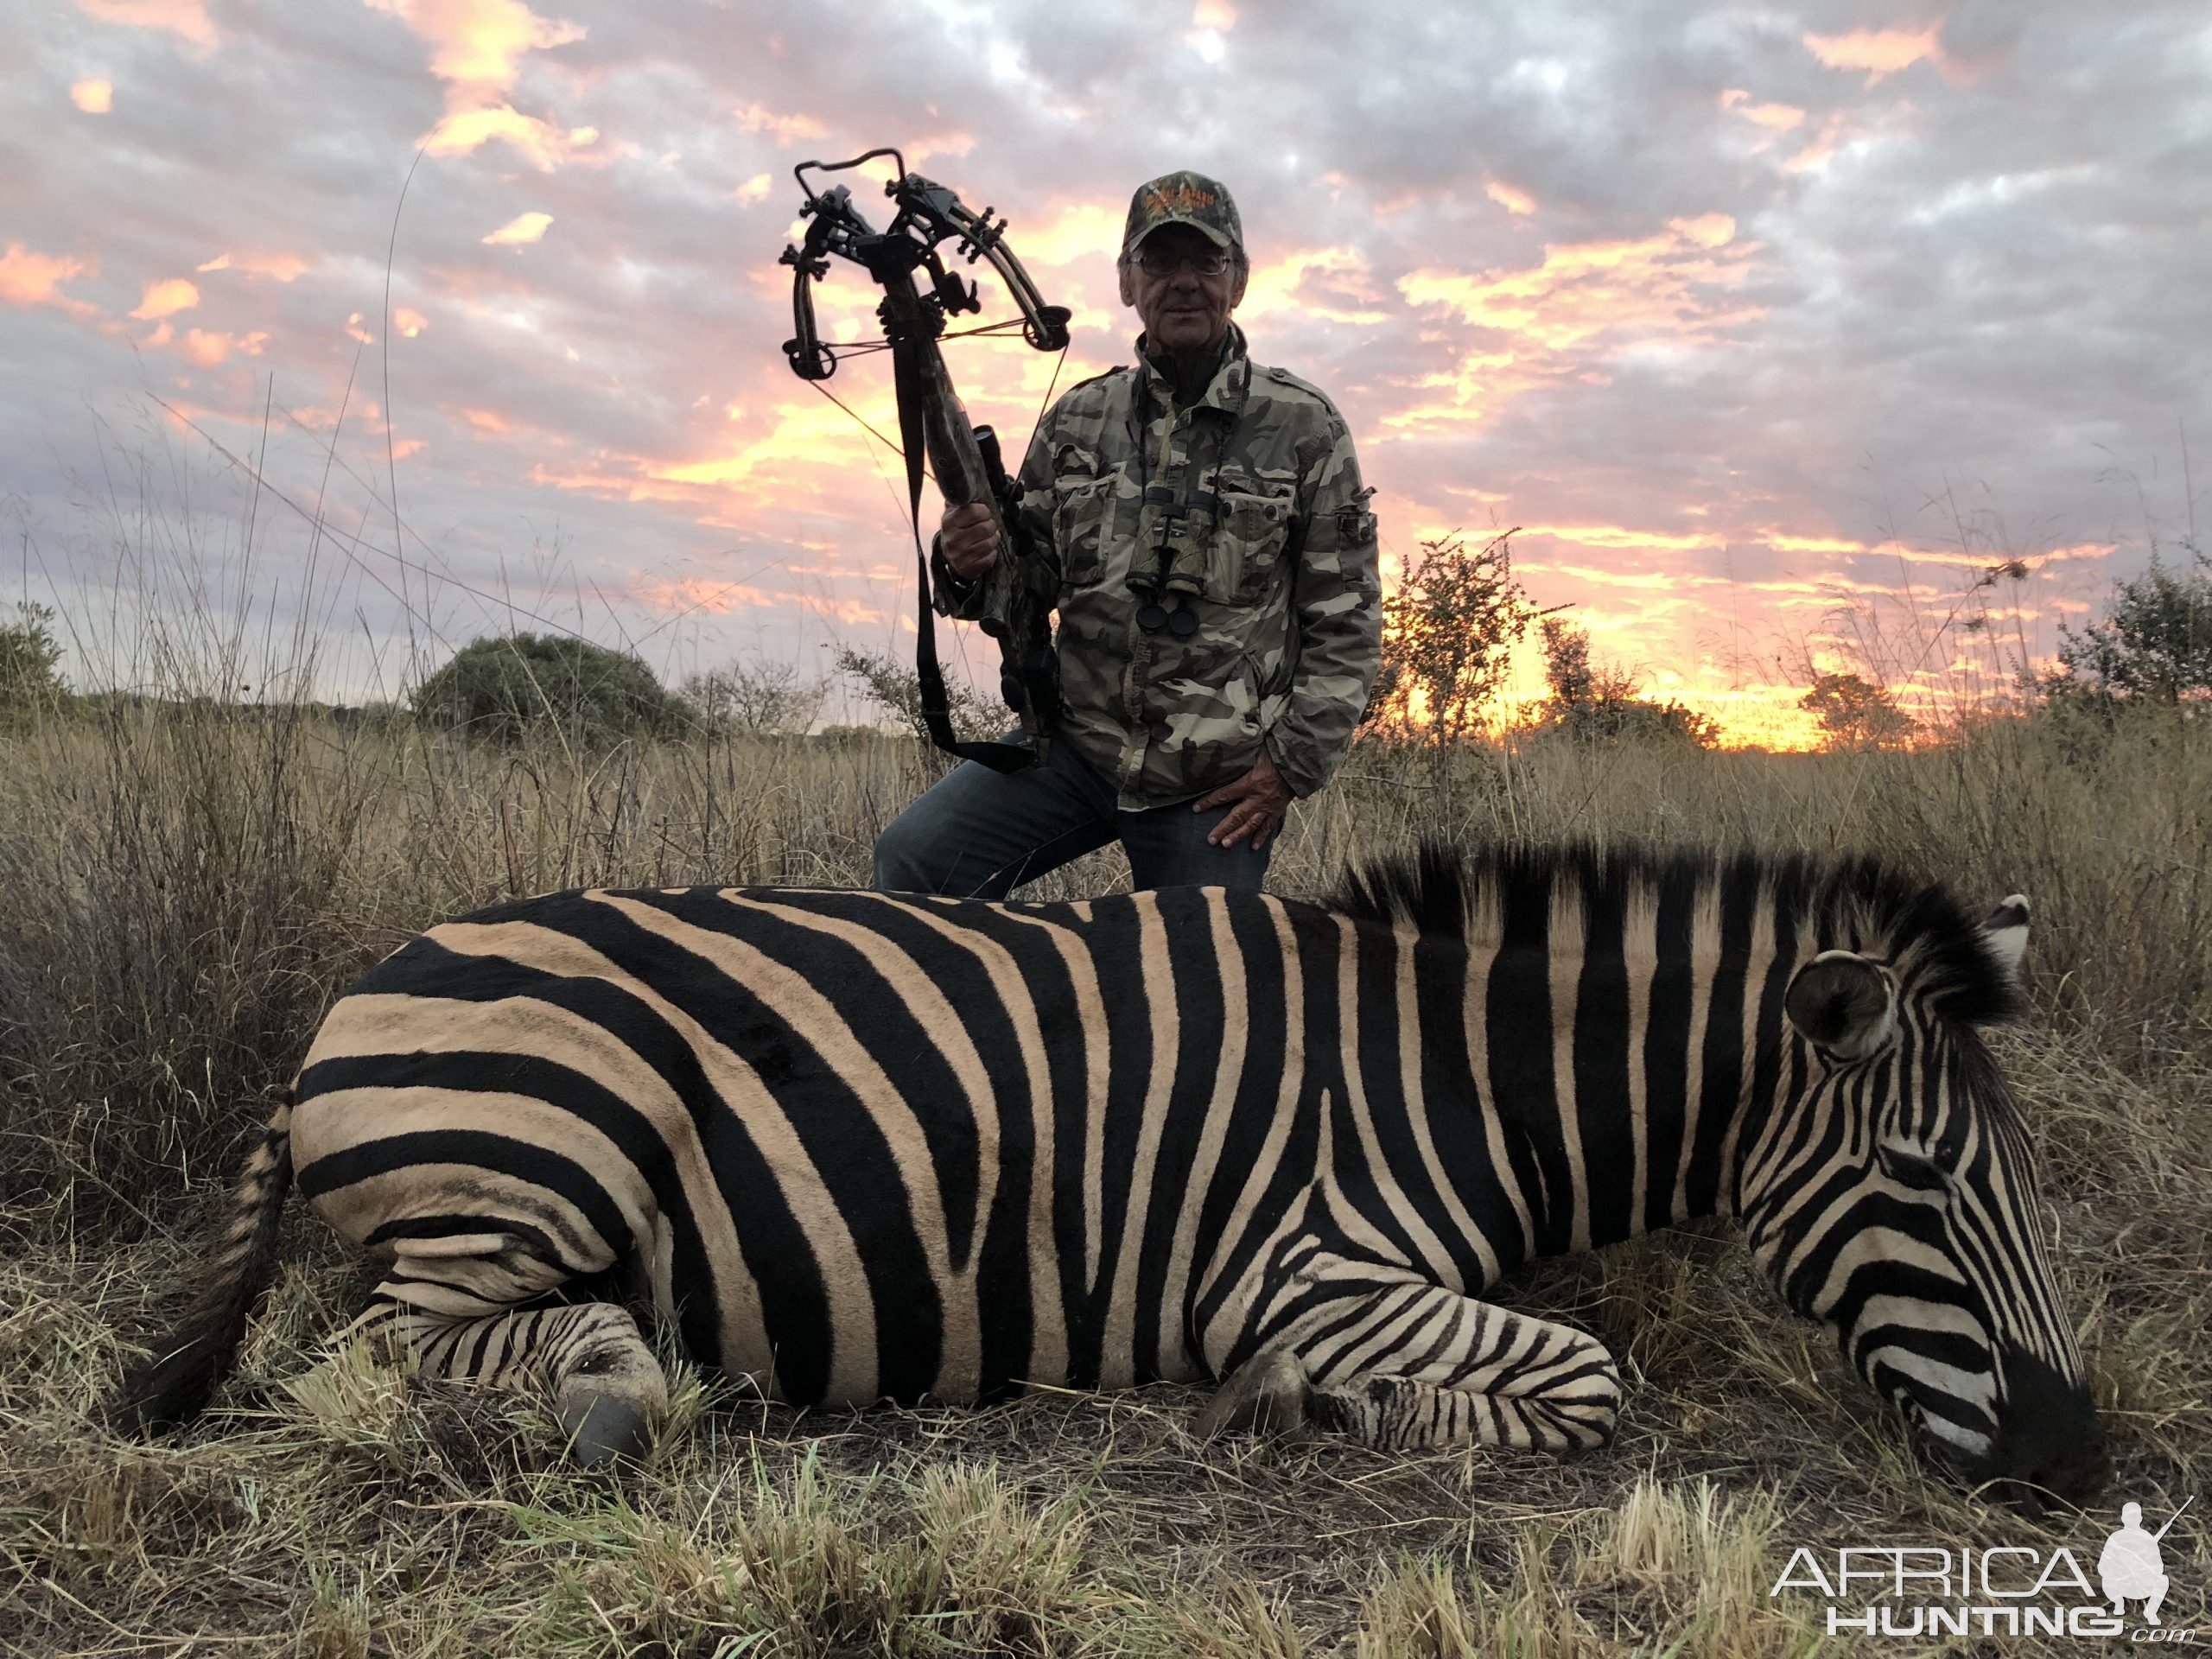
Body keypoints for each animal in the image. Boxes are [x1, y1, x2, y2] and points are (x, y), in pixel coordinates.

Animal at [117, 849, 2106, 1513]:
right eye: (1925, 1183)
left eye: (2018, 1179)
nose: (2077, 1464)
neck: (1447, 1075)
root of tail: (346, 1001)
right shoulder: (1295, 1266)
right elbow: (1587, 1378)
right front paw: (1310, 1407)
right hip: (536, 1170)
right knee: (366, 1364)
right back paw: (614, 1395)